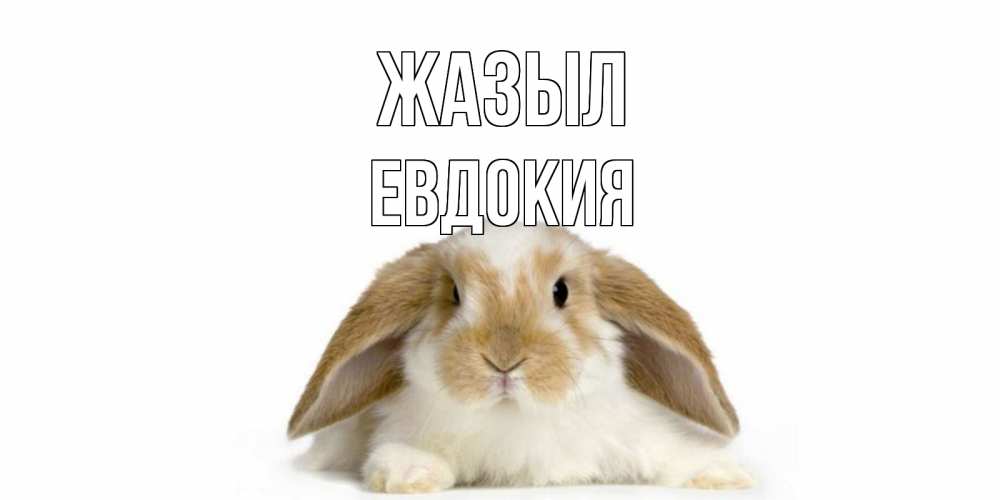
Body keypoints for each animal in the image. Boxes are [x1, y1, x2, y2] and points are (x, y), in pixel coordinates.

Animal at [288, 225, 753, 493]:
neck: (514, 416)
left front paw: (724, 475)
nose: (504, 360)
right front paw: (409, 474)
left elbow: (671, 452)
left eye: (561, 291)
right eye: (454, 294)